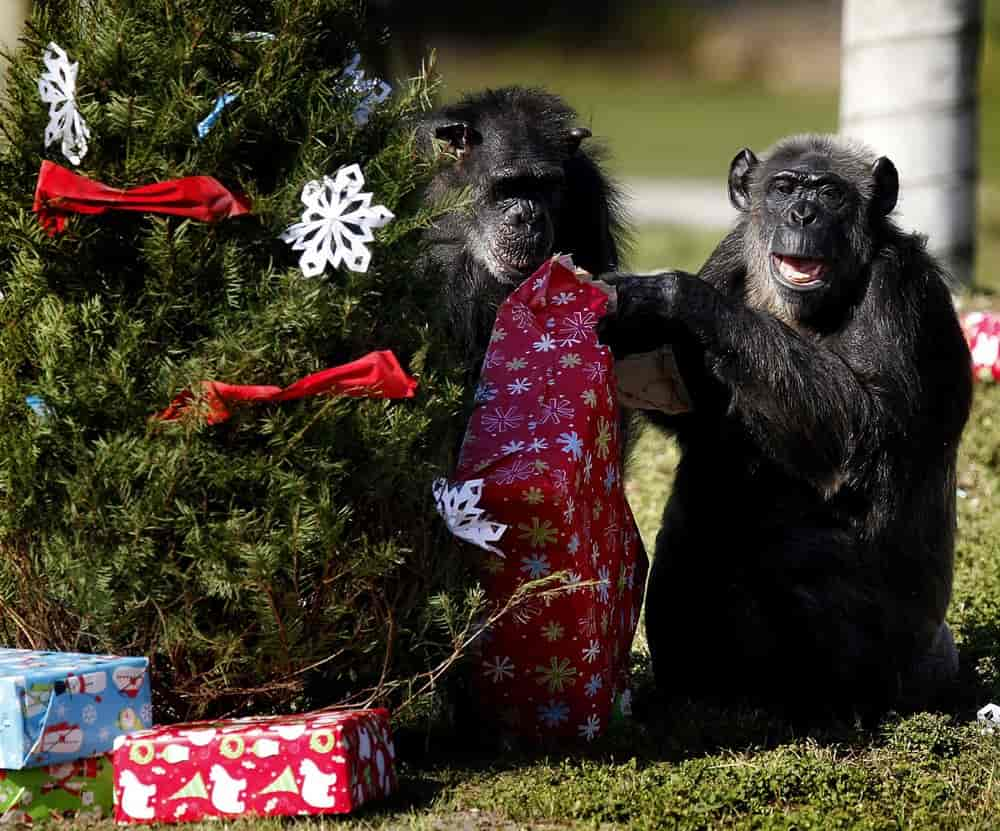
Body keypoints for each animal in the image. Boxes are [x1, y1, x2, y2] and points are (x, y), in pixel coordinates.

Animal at [596, 135, 972, 716]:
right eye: (785, 188)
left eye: (830, 194)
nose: (803, 213)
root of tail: (936, 662)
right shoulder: (728, 251)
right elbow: (698, 419)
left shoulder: (897, 289)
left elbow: (865, 425)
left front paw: (669, 295)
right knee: (692, 533)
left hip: (897, 666)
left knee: (796, 557)